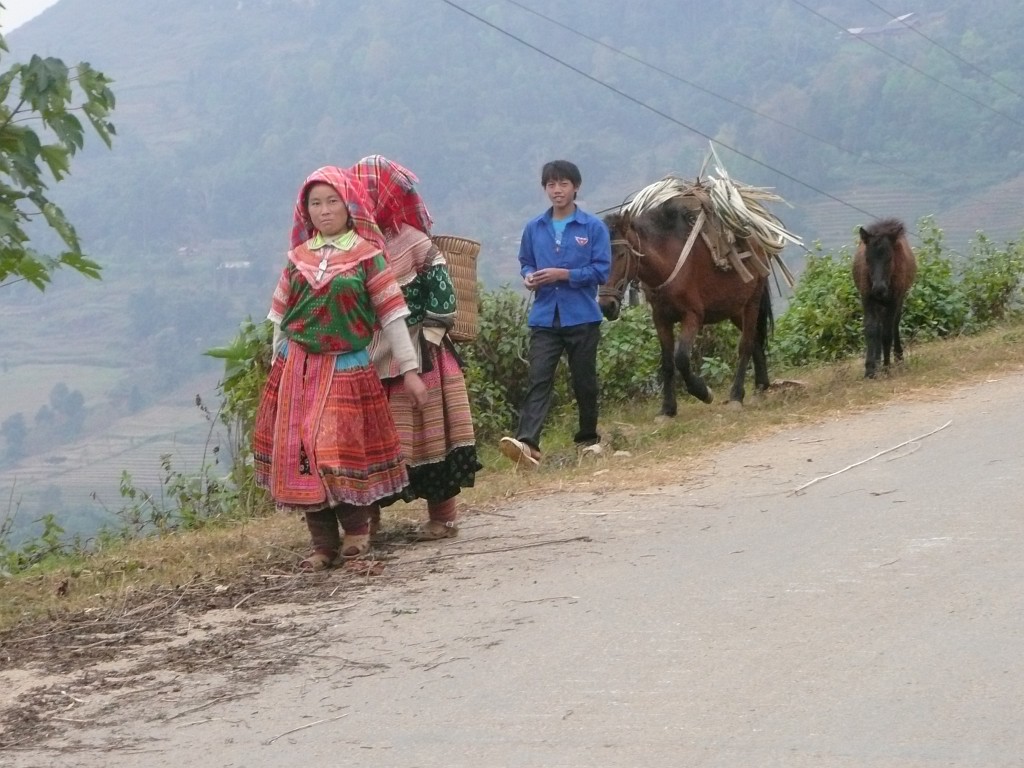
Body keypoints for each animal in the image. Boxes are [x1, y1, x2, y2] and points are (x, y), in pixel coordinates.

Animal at [598, 198, 770, 415]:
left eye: (620, 254)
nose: (606, 305)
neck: (666, 263)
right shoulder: (661, 318)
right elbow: (667, 363)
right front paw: (667, 409)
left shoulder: (693, 316)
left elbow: (681, 358)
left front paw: (703, 392)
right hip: (735, 309)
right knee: (755, 339)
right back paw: (761, 386)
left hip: (751, 303)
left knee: (746, 344)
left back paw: (737, 395)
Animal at [851, 219, 917, 378]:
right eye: (867, 259)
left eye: (889, 258)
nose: (879, 289)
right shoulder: (867, 299)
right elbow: (871, 329)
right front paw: (870, 369)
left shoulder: (894, 300)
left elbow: (887, 333)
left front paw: (887, 367)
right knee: (879, 327)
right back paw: (878, 361)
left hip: (897, 300)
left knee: (894, 325)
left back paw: (897, 358)